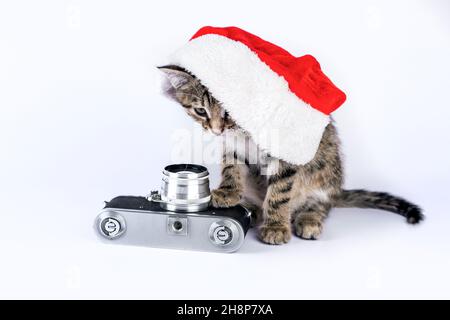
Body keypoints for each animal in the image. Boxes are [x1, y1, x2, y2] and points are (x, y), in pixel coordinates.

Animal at [159, 65, 426, 245]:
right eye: (200, 111)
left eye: (229, 110)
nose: (216, 130)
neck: (246, 133)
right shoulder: (231, 145)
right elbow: (231, 168)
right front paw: (228, 192)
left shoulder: (287, 149)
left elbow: (279, 192)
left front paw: (276, 226)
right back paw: (251, 208)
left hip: (325, 170)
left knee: (321, 204)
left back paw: (308, 218)